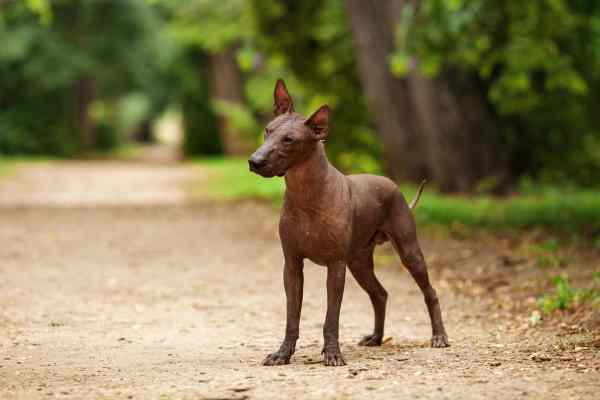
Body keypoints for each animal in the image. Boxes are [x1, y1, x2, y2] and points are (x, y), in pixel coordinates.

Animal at [246, 79, 448, 368]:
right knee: (380, 294)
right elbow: (292, 317)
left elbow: (331, 318)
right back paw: (376, 337)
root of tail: (394, 186)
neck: (306, 194)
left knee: (430, 291)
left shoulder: (336, 266)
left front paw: (332, 353)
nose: (254, 161)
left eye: (289, 140)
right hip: (359, 262)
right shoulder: (292, 266)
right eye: (268, 130)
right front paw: (283, 354)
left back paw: (439, 336)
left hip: (408, 252)